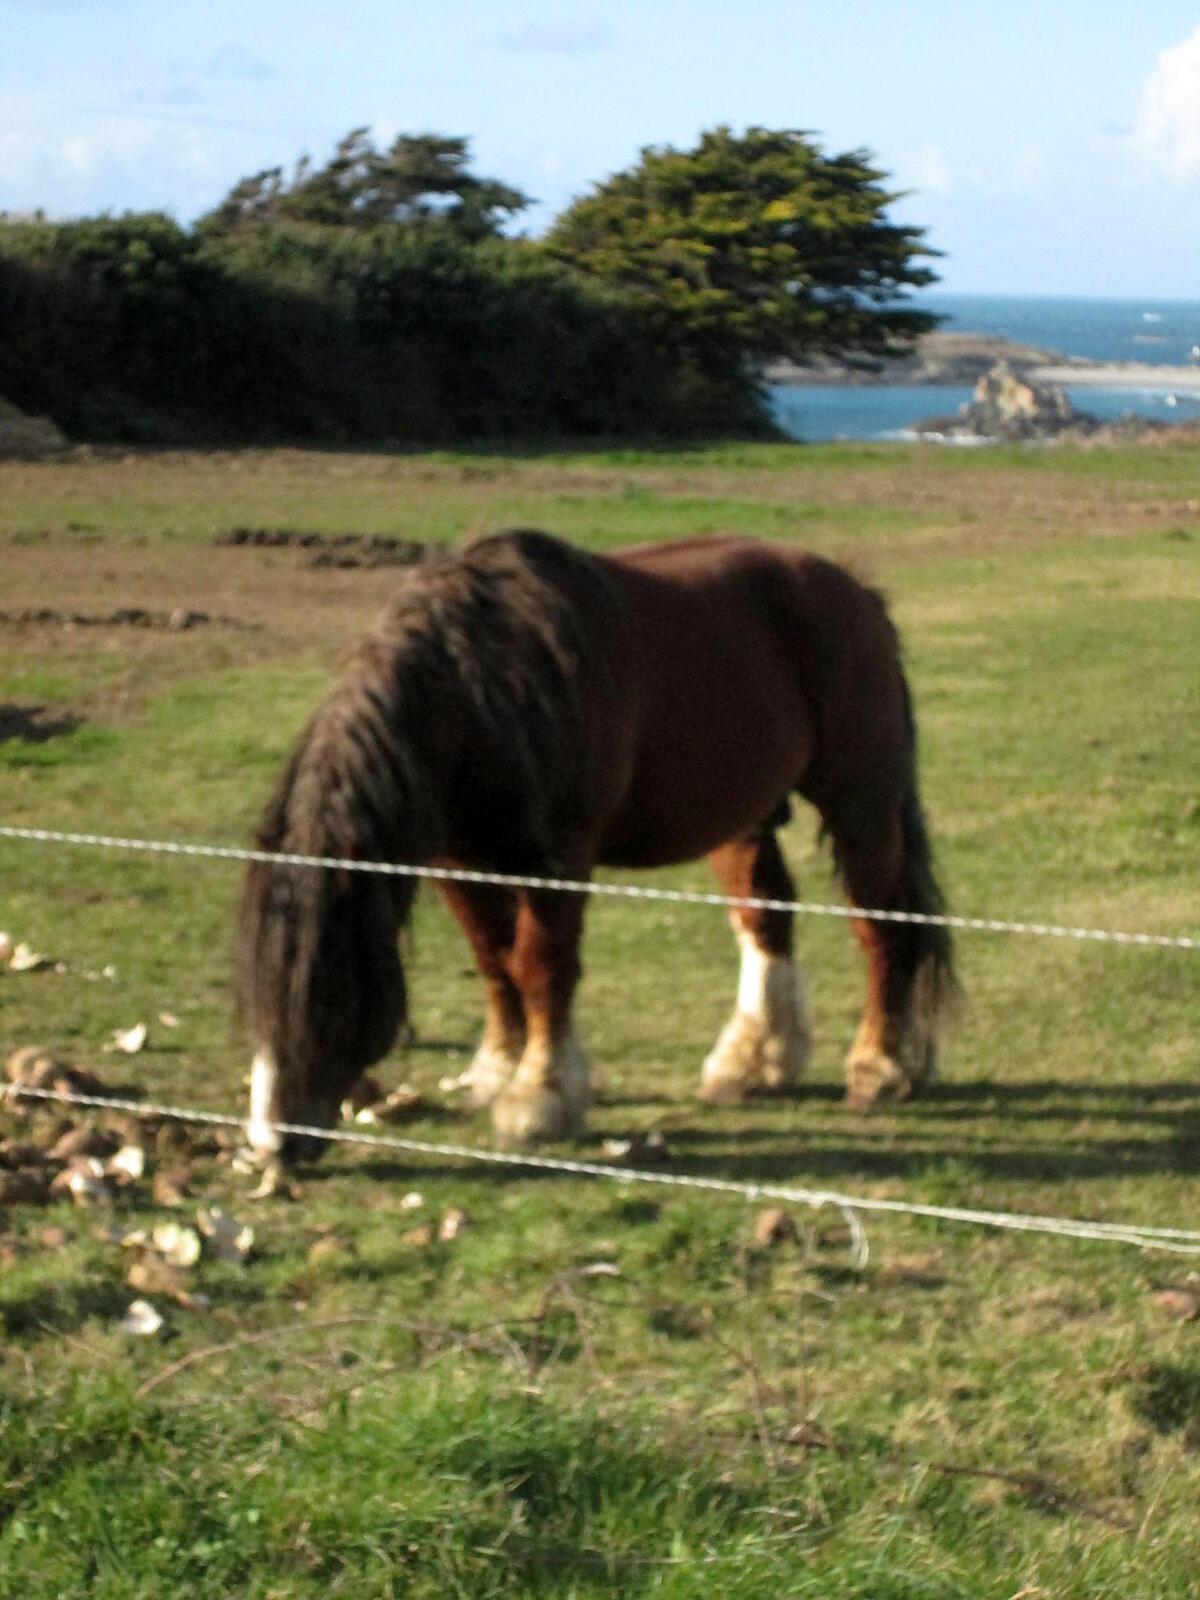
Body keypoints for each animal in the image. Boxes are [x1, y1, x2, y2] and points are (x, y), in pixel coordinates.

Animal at [236, 531, 947, 1158]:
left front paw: (539, 1096)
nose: (274, 1143)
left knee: (881, 927)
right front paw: (498, 1068)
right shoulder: (455, 860)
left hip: (861, 803)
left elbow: (540, 966)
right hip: (744, 817)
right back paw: (753, 1064)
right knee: (766, 916)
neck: (484, 691)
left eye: (325, 987)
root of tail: (854, 590)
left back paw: (880, 1068)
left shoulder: (558, 859)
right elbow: (493, 958)